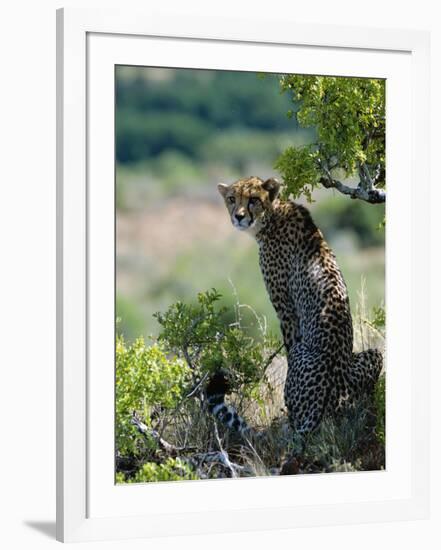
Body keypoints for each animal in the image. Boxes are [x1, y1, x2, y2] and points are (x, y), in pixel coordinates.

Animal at [217, 177, 382, 448]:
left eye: (253, 199)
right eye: (232, 199)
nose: (239, 217)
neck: (272, 216)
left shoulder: (286, 310)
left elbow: (289, 342)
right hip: (373, 355)